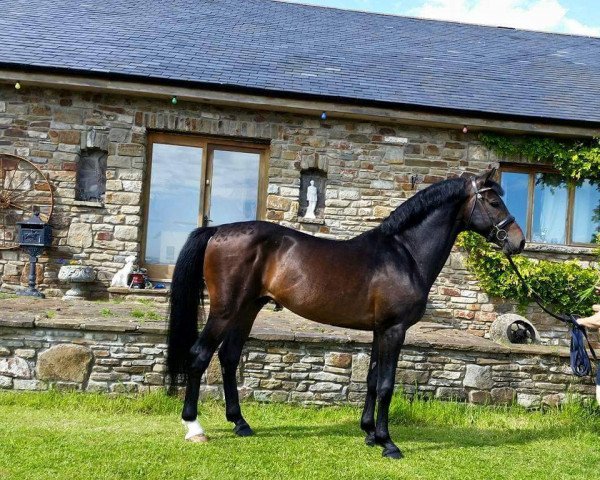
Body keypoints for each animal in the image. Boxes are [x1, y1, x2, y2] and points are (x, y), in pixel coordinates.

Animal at [168, 169, 524, 458]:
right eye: (494, 202)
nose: (518, 242)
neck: (404, 254)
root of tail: (218, 231)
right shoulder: (395, 329)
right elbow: (386, 385)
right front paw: (388, 443)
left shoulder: (381, 329)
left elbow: (371, 380)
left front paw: (369, 433)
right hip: (225, 310)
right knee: (199, 356)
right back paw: (194, 428)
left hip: (247, 309)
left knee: (228, 357)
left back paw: (240, 423)